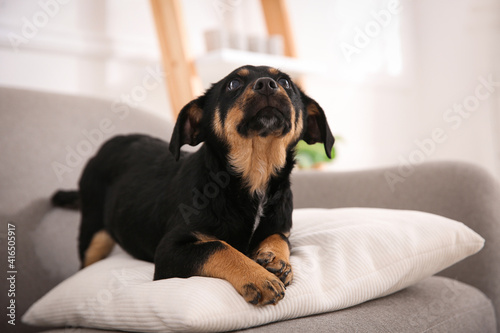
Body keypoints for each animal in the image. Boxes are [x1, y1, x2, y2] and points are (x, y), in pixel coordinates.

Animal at [52, 65, 334, 306]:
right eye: (233, 83)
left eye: (285, 82)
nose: (267, 84)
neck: (254, 178)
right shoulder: (168, 250)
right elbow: (218, 247)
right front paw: (258, 277)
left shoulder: (281, 227)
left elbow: (279, 237)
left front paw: (274, 259)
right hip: (93, 232)